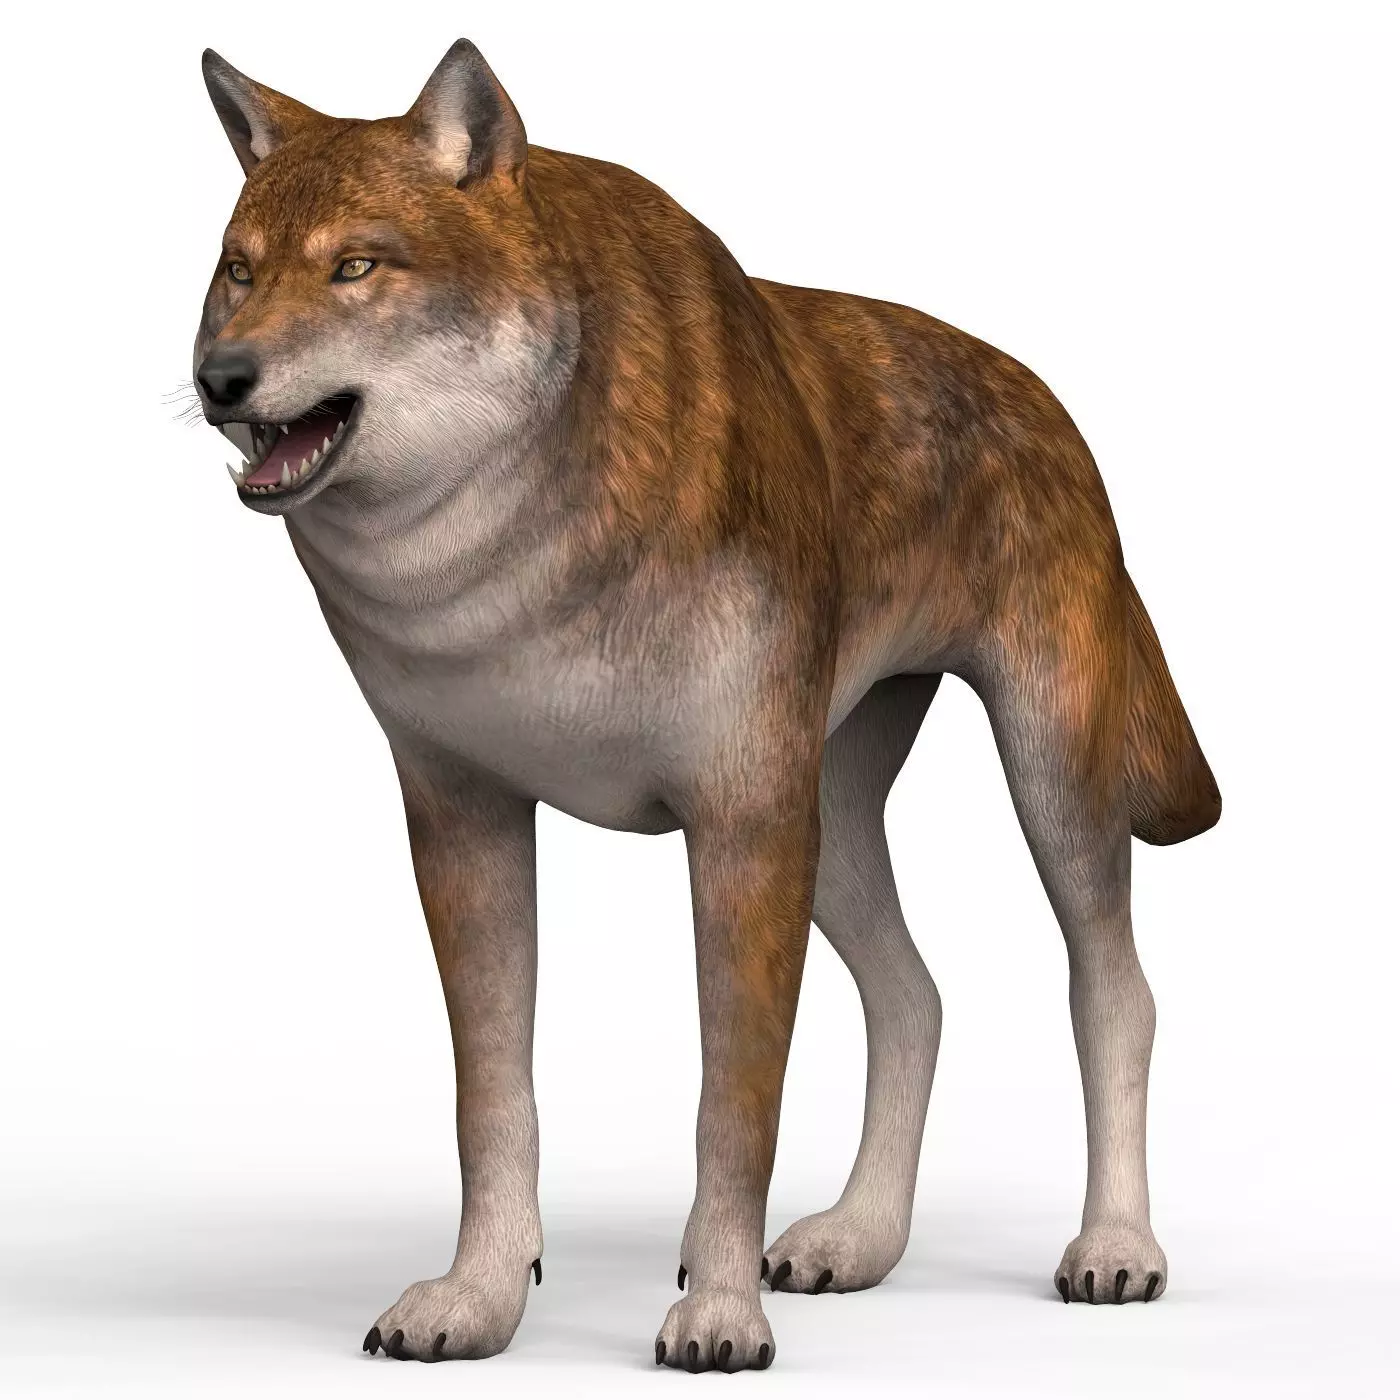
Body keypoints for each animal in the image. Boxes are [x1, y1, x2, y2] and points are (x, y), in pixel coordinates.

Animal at [194, 39, 1220, 1370]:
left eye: (355, 265)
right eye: (238, 268)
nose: (217, 377)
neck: (514, 563)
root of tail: (1047, 404)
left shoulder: (736, 825)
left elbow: (733, 1104)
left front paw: (718, 1310)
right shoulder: (464, 819)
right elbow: (491, 1096)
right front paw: (478, 1296)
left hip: (1035, 786)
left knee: (1113, 991)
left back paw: (1114, 1247)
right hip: (830, 830)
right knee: (916, 995)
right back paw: (856, 1238)